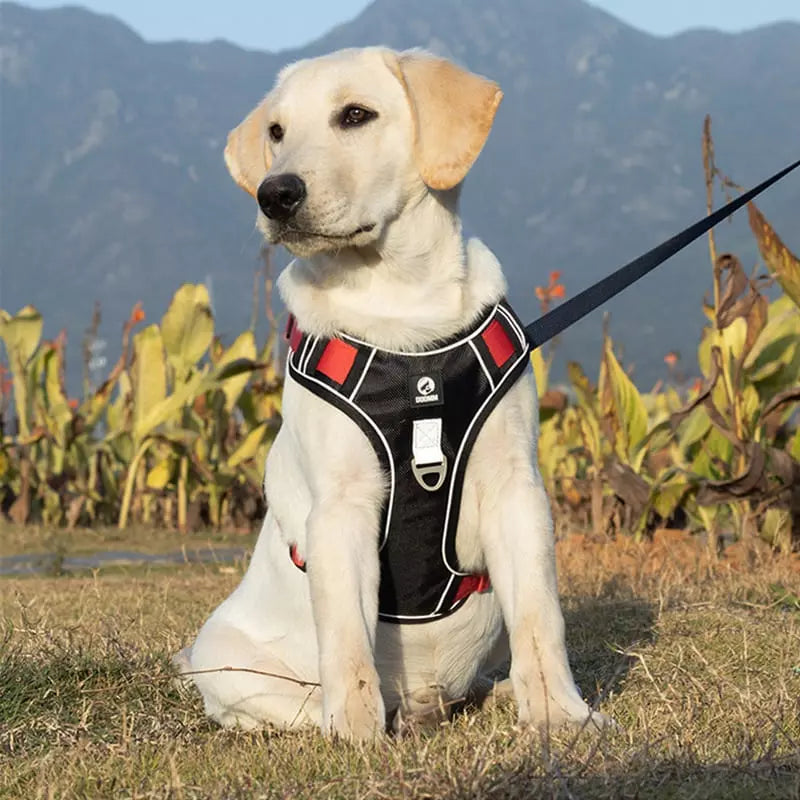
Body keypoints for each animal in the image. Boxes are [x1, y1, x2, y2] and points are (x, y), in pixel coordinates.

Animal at [175, 47, 608, 740]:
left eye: (356, 115)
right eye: (276, 131)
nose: (275, 194)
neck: (404, 313)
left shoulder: (516, 487)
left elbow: (543, 622)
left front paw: (561, 716)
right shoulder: (342, 508)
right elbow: (348, 646)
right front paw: (357, 737)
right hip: (225, 663)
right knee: (299, 699)